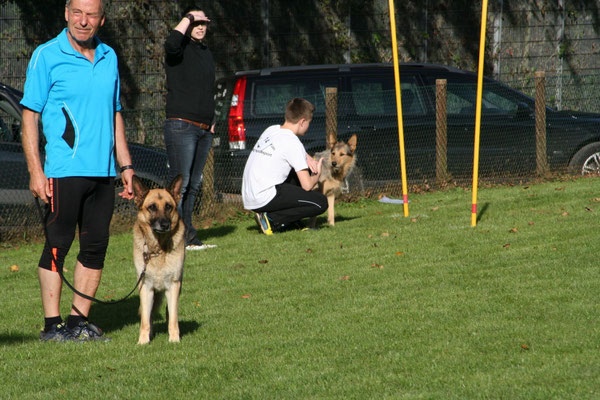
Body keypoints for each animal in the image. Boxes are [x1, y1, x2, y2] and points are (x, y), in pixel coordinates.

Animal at [132, 175, 184, 344]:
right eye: (152, 207)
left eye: (168, 207)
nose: (165, 224)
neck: (158, 249)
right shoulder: (146, 287)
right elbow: (145, 320)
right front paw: (143, 341)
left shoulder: (173, 286)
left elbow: (173, 318)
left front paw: (174, 340)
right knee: (149, 315)